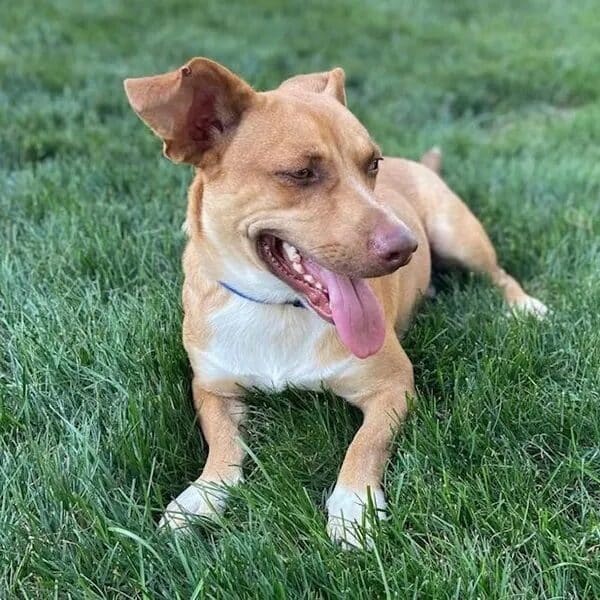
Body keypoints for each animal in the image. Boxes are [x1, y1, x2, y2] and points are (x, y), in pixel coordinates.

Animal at [124, 57, 548, 548]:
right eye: (301, 173)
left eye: (372, 164)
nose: (408, 247)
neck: (279, 308)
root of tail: (416, 163)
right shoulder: (212, 388)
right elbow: (223, 444)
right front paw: (201, 496)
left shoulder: (393, 385)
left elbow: (365, 444)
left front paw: (352, 504)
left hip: (460, 235)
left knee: (499, 274)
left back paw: (523, 306)